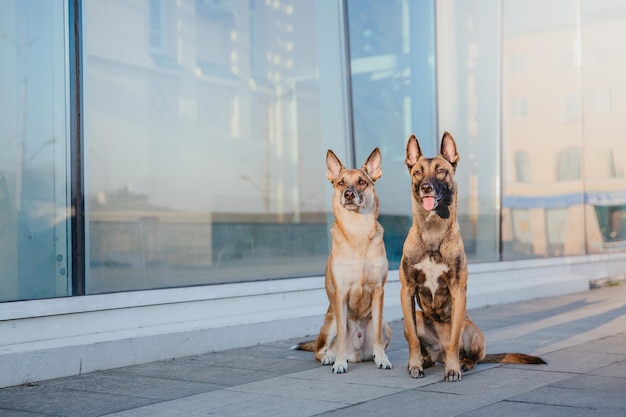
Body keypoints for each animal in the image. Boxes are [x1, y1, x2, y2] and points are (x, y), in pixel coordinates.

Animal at [292, 148, 390, 372]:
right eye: (341, 183)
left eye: (362, 182)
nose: (349, 194)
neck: (357, 232)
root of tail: (357, 355)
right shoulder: (341, 293)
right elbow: (343, 339)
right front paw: (339, 364)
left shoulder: (378, 291)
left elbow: (377, 337)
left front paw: (382, 359)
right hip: (331, 323)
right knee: (320, 350)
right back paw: (331, 357)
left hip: (385, 325)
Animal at [400, 132, 540, 380]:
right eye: (418, 172)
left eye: (441, 170)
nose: (426, 187)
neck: (433, 233)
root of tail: (439, 353)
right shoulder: (406, 291)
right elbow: (415, 340)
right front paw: (415, 365)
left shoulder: (458, 291)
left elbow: (454, 340)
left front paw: (453, 369)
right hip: (416, 317)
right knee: (424, 346)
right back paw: (425, 362)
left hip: (471, 329)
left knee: (470, 355)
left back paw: (462, 363)